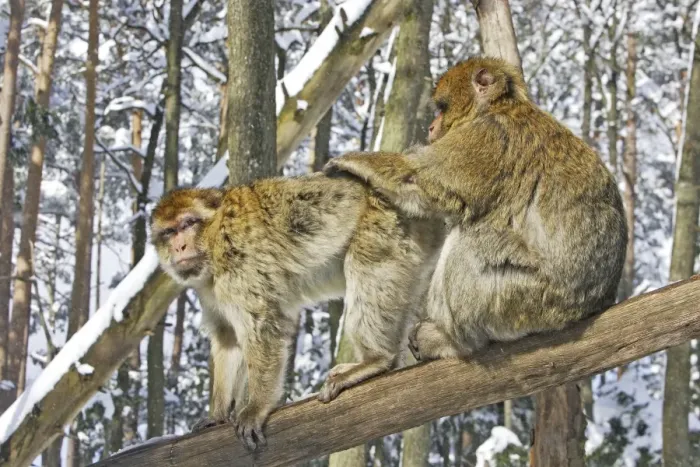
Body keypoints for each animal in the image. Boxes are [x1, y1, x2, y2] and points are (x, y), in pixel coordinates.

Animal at [150, 173, 444, 450]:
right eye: (169, 232)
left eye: (188, 224)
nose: (179, 246)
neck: (213, 240)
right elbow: (228, 340)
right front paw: (218, 415)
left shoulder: (239, 264)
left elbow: (262, 326)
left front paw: (256, 407)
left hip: (385, 226)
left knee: (367, 268)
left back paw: (376, 359)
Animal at [323, 56, 627, 362]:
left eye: (442, 108)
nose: (431, 127)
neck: (499, 107)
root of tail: (591, 307)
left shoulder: (487, 137)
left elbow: (418, 179)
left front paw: (353, 160)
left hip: (526, 300)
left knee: (471, 243)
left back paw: (452, 340)